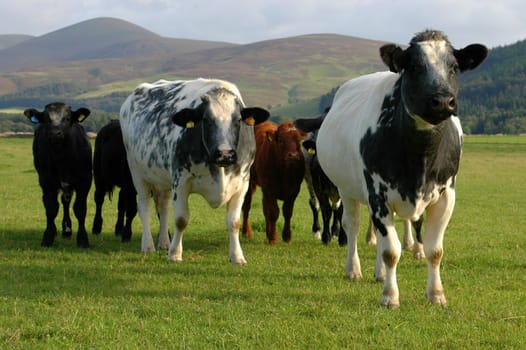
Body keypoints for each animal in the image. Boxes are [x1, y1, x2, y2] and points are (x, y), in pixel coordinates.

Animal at [24, 102, 93, 247]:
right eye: (46, 119)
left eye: (67, 118)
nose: (55, 133)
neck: (62, 158)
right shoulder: (46, 181)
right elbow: (51, 208)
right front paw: (48, 237)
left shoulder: (85, 180)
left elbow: (80, 209)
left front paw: (83, 239)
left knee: (66, 201)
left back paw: (67, 230)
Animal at [118, 78, 268, 262]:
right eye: (206, 119)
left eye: (238, 120)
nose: (225, 153)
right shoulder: (181, 181)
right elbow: (181, 220)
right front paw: (175, 254)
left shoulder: (242, 183)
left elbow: (234, 222)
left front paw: (237, 256)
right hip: (138, 173)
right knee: (144, 207)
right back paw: (148, 245)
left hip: (165, 180)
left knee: (164, 207)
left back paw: (164, 242)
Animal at [314, 31, 490, 308]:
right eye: (414, 67)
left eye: (454, 67)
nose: (443, 101)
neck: (421, 157)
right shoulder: (378, 194)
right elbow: (391, 251)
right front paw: (390, 295)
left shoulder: (446, 196)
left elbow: (434, 250)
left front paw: (436, 294)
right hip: (346, 189)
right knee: (352, 225)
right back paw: (354, 269)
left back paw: (379, 273)